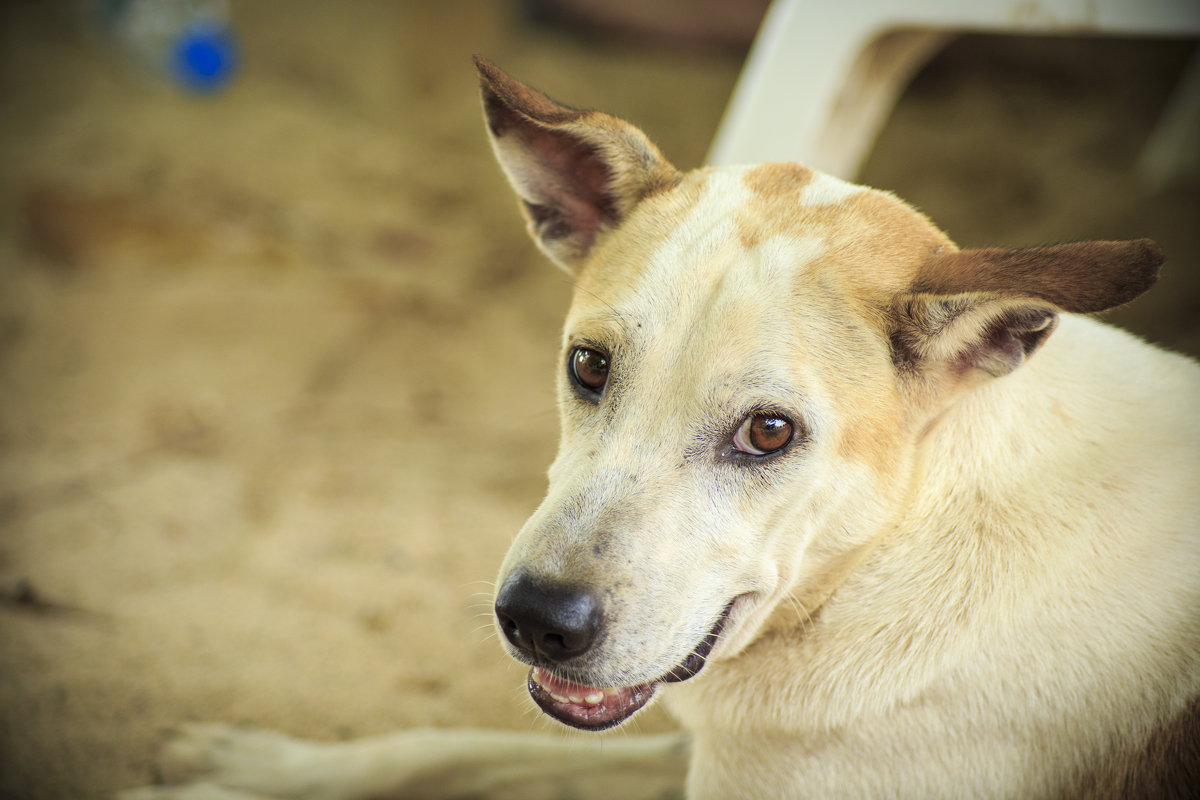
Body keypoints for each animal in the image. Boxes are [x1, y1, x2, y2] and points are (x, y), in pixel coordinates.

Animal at [126, 57, 1195, 800]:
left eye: (770, 434)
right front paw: (259, 760)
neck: (875, 568)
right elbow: (458, 747)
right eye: (589, 366)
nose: (536, 622)